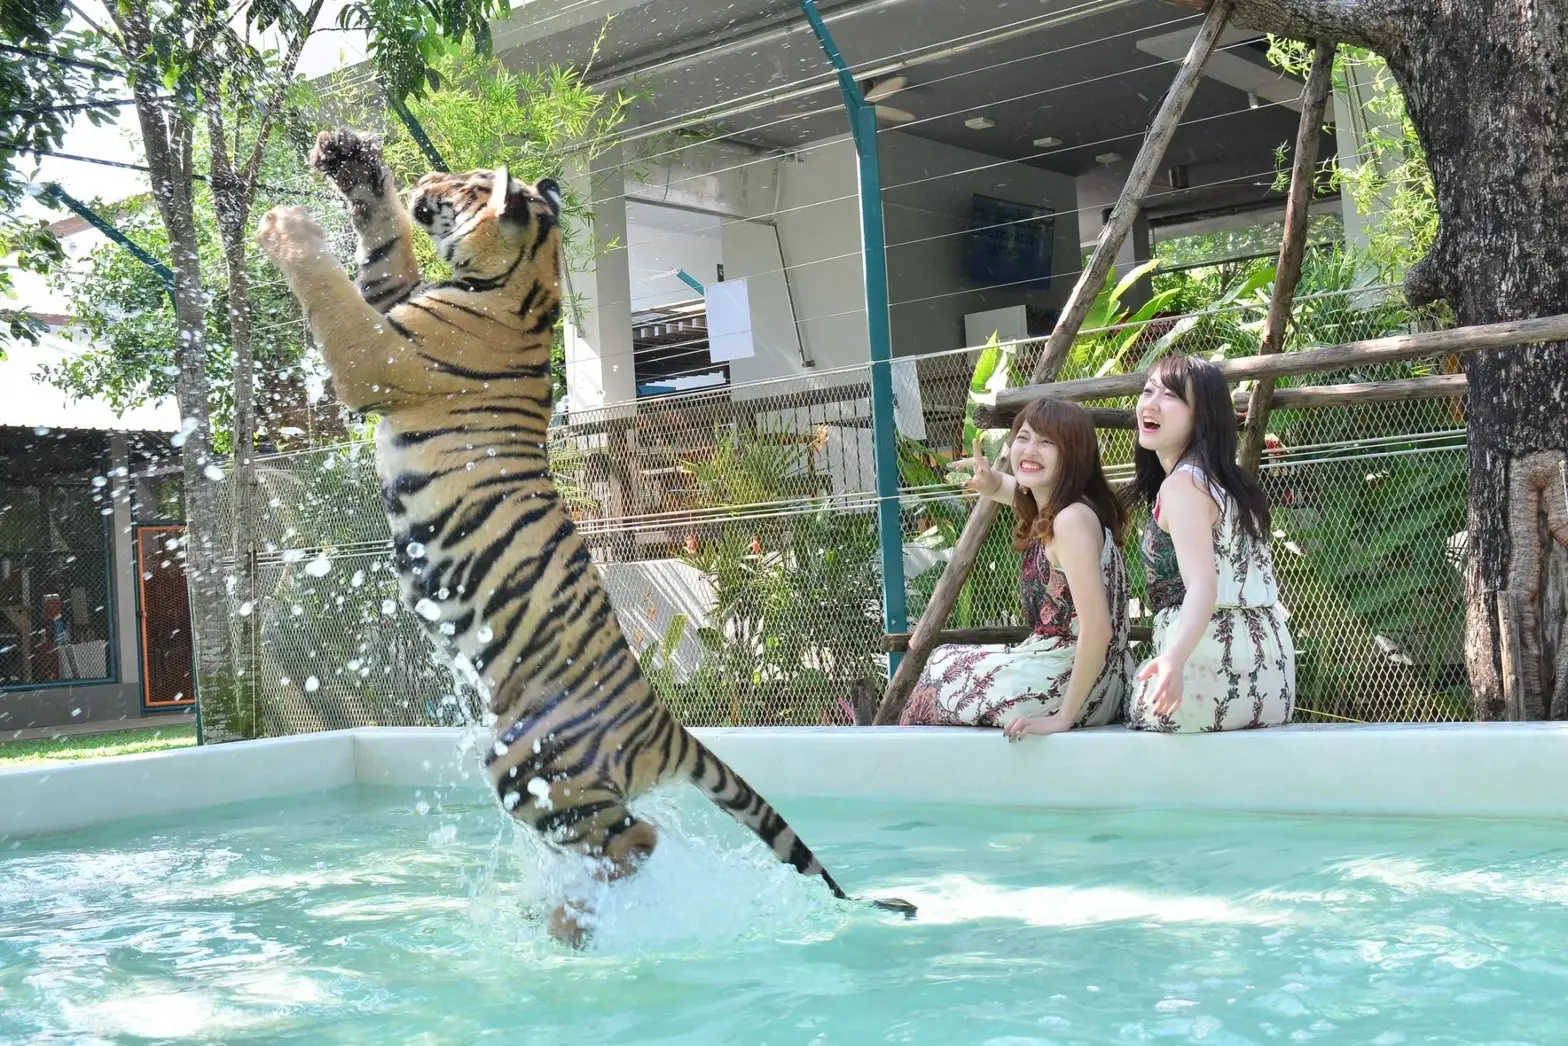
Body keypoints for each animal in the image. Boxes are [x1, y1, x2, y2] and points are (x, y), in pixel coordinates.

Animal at [254, 128, 915, 946]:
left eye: (463, 182)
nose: (425, 181)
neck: (521, 282)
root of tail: (668, 723)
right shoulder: (391, 304)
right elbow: (382, 252)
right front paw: (354, 168)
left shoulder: (376, 359)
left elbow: (334, 296)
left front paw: (289, 229)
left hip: (530, 762)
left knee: (635, 843)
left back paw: (565, 924)